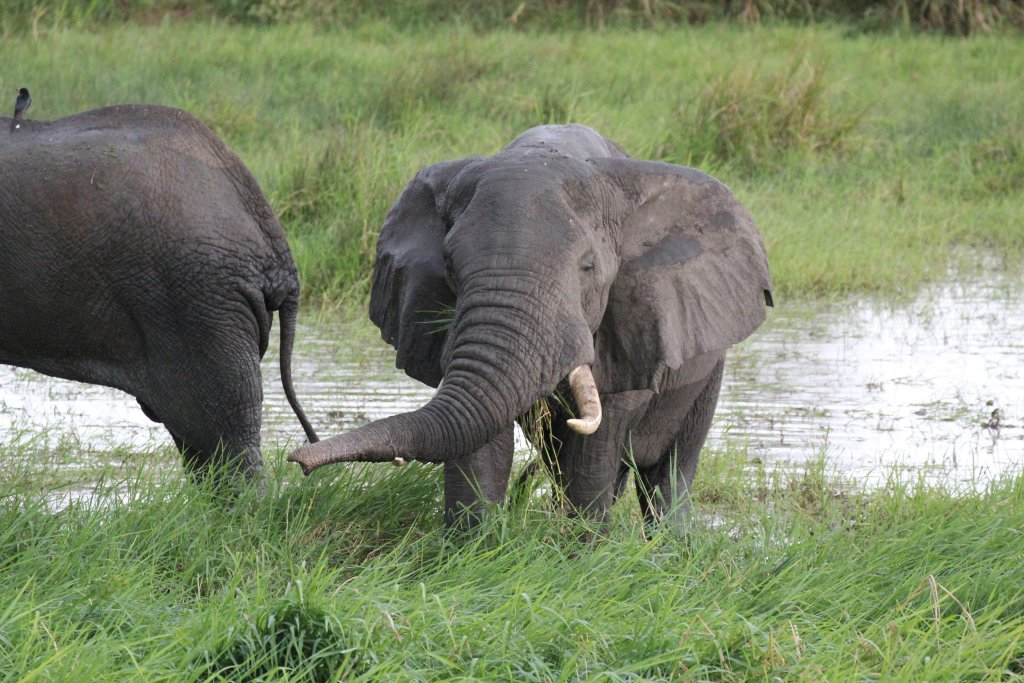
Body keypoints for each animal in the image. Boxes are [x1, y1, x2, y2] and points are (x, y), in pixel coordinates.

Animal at [290, 124, 772, 531]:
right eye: (449, 266)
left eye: (588, 268)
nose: (299, 460)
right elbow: (482, 442)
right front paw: (470, 554)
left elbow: (595, 449)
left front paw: (580, 558)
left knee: (669, 473)